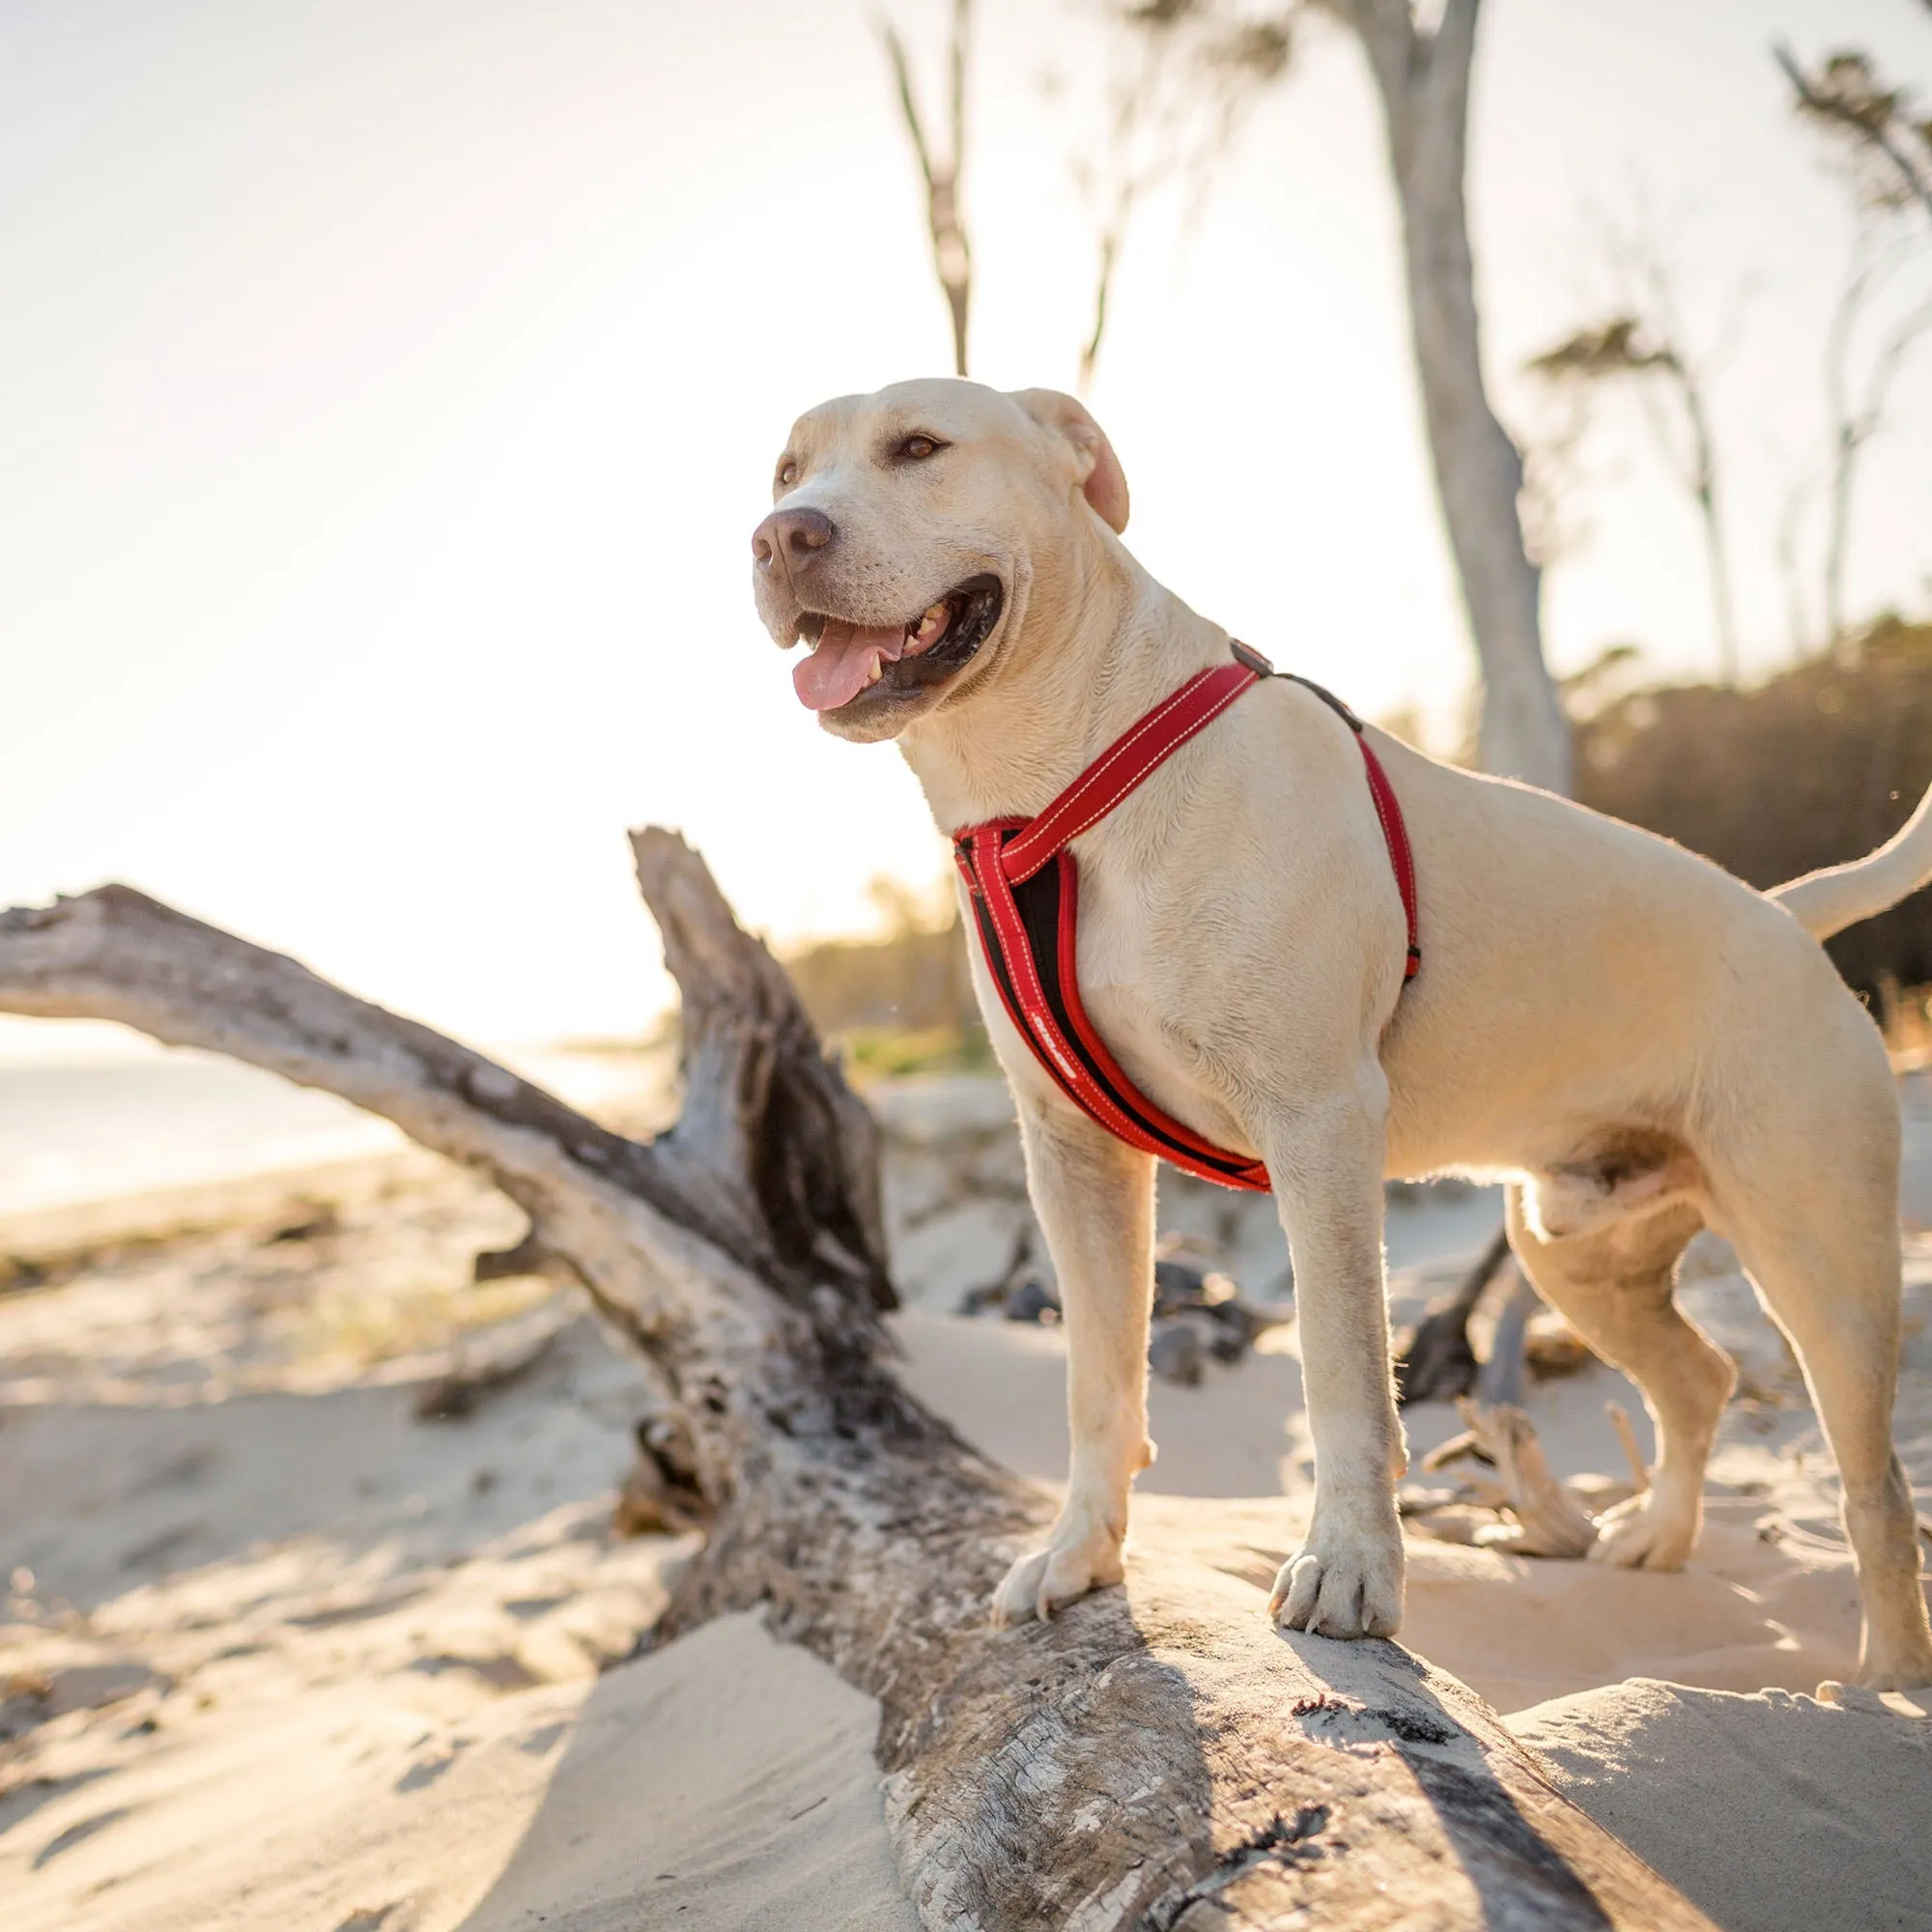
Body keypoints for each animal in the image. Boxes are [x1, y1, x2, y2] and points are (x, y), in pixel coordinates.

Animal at [746, 377, 1932, 1692]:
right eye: (785, 469)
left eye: (919, 447)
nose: (780, 537)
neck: (1065, 776)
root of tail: (1786, 913)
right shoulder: (1072, 1155)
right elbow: (1097, 1377)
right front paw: (1078, 1554)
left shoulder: (1315, 1126)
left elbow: (1342, 1368)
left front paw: (1351, 1569)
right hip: (1573, 1249)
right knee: (1698, 1378)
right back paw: (1660, 1537)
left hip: (1818, 1261)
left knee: (1872, 1482)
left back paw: (1884, 1678)